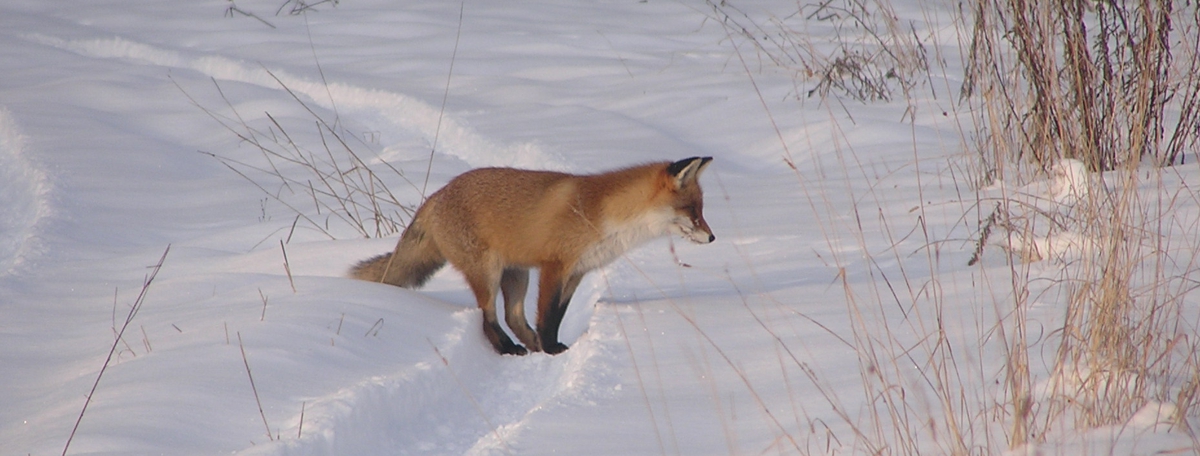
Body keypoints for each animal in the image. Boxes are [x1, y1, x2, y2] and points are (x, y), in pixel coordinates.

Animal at [350, 156, 714, 355]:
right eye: (692, 210)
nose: (712, 237)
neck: (605, 216)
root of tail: (435, 196)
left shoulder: (577, 272)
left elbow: (557, 315)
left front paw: (549, 347)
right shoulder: (554, 266)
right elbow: (547, 316)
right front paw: (552, 349)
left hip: (516, 274)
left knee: (512, 317)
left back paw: (529, 346)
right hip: (488, 272)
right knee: (488, 319)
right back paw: (508, 349)